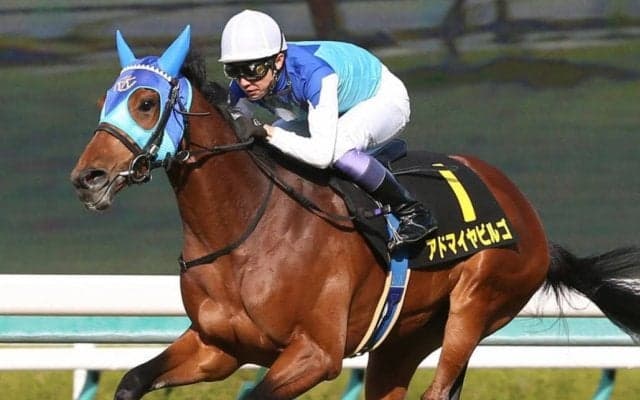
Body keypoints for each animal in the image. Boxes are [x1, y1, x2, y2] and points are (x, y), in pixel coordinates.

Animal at [70, 27, 640, 400]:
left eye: (146, 103)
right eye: (105, 100)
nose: (87, 178)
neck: (244, 231)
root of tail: (530, 217)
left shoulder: (316, 354)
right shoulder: (218, 346)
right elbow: (132, 381)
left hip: (475, 308)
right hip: (404, 337)